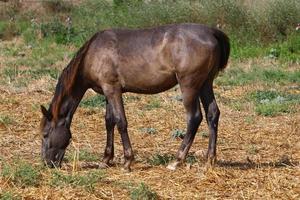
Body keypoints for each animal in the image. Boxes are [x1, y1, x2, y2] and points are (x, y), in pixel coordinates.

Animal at [39, 23, 230, 170]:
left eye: (45, 134)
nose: (47, 163)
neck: (93, 54)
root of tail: (210, 32)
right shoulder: (107, 92)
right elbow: (109, 122)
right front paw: (105, 159)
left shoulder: (113, 90)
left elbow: (121, 122)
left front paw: (127, 161)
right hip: (205, 84)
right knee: (212, 114)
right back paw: (210, 160)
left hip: (189, 86)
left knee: (194, 117)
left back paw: (177, 160)